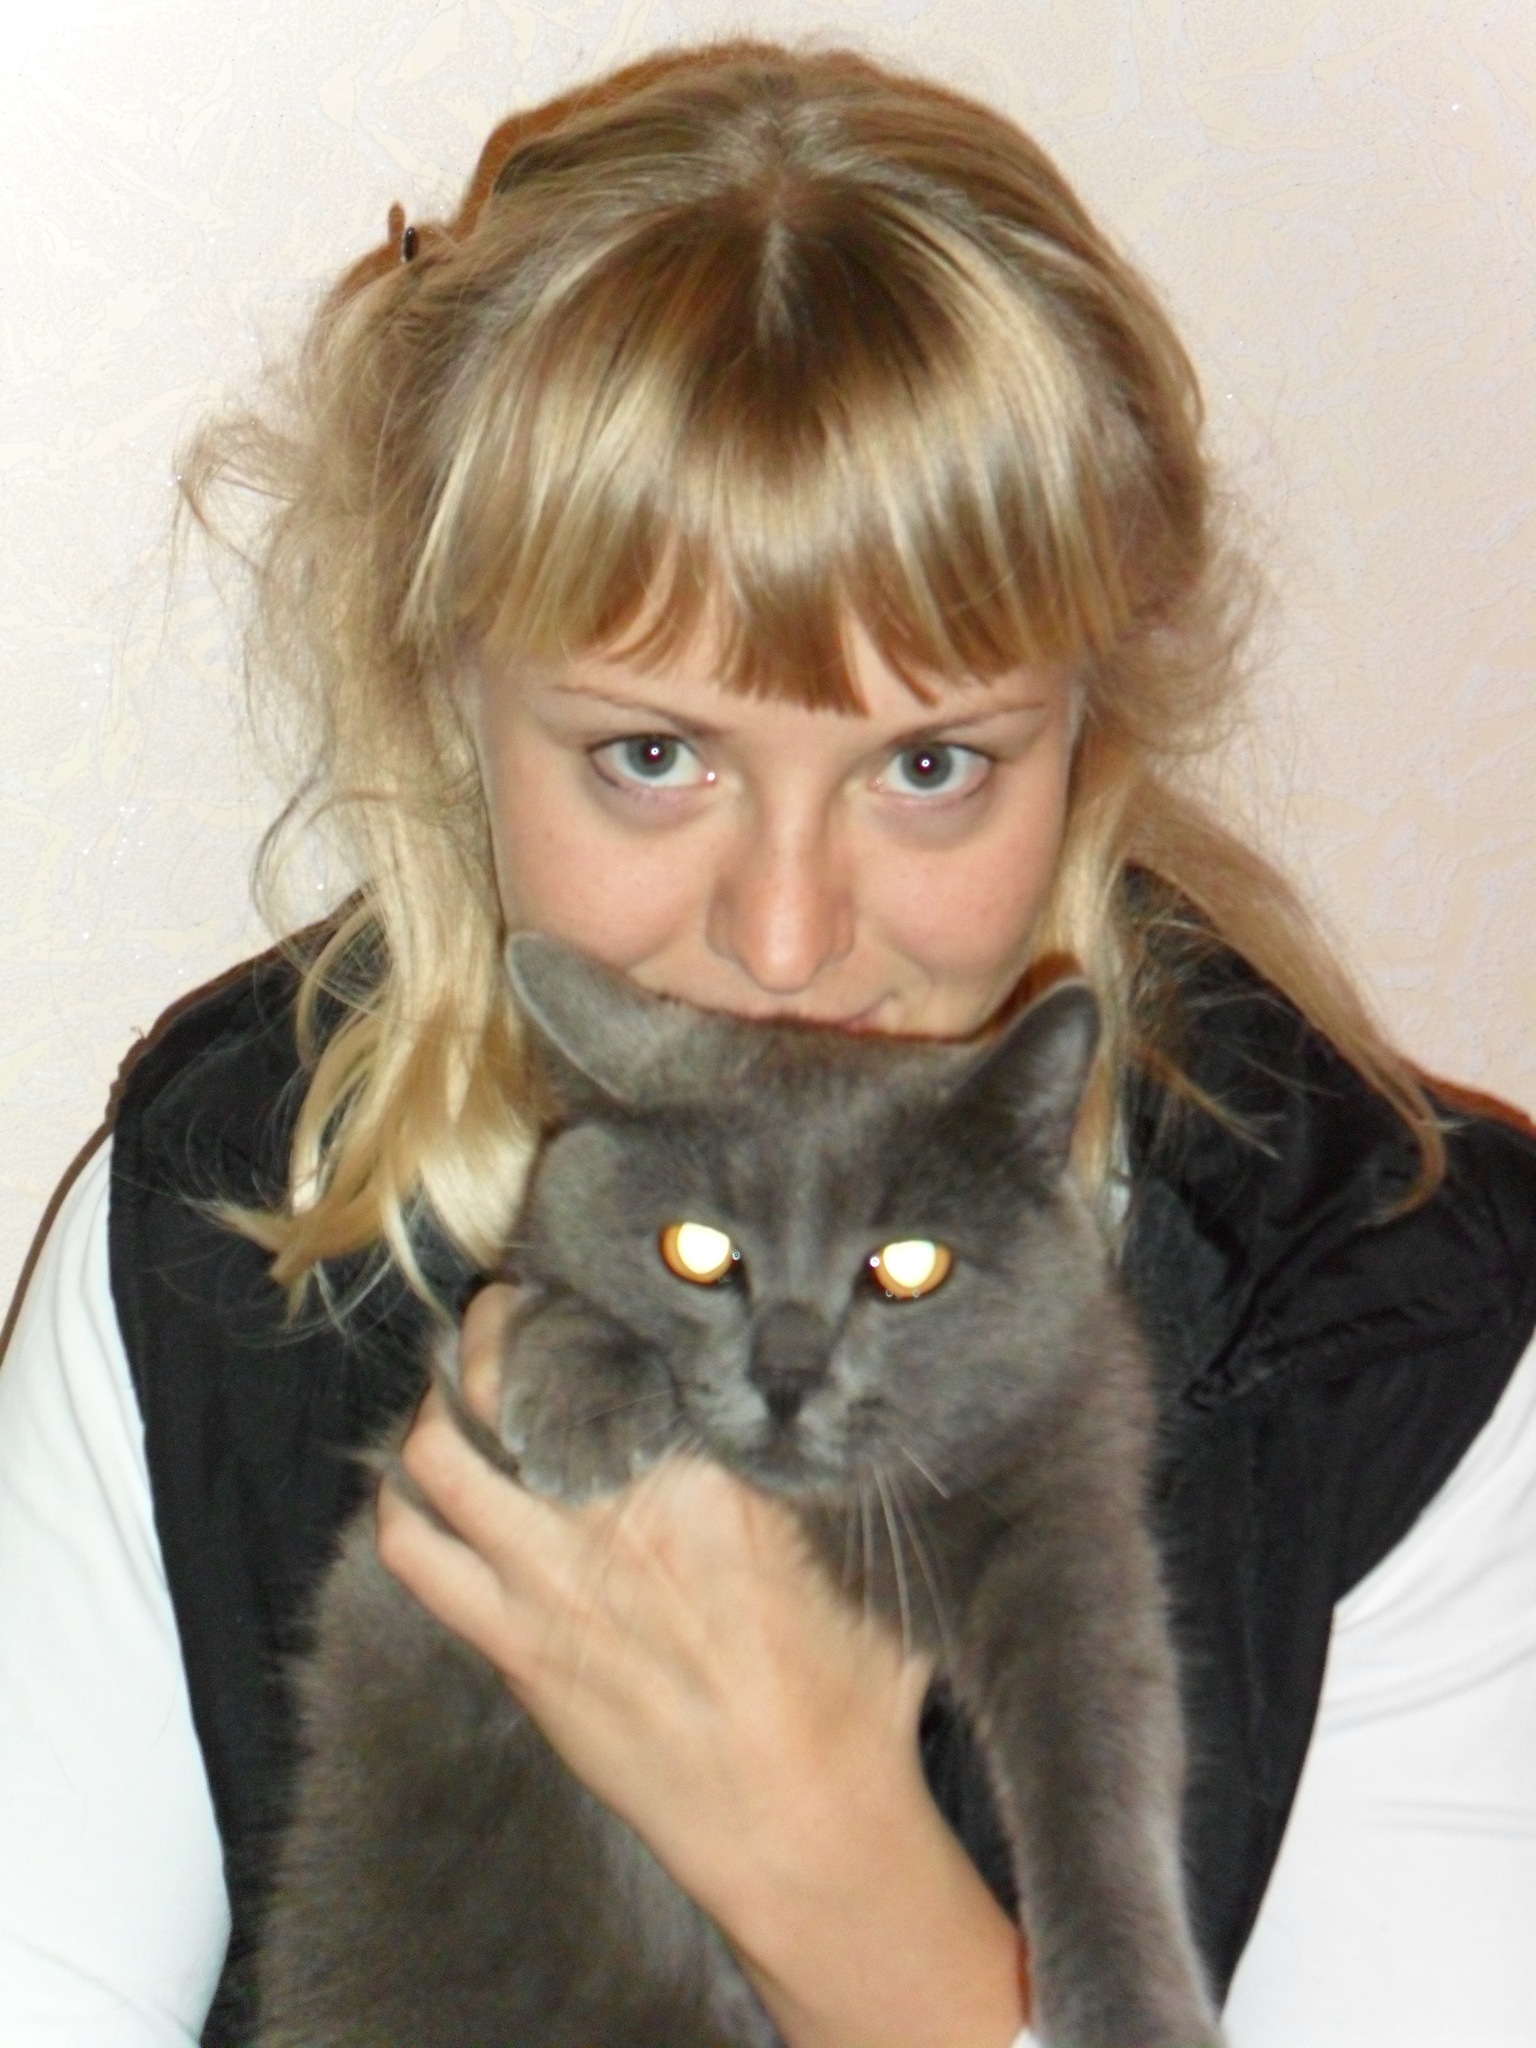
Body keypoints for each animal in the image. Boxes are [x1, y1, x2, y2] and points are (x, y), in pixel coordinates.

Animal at [254, 935, 1221, 2048]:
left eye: (910, 1265)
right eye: (700, 1250)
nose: (788, 1375)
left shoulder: (1067, 1492)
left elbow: (1096, 1752)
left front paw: (1130, 2011)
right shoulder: (444, 1435)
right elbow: (548, 1301)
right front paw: (581, 1402)